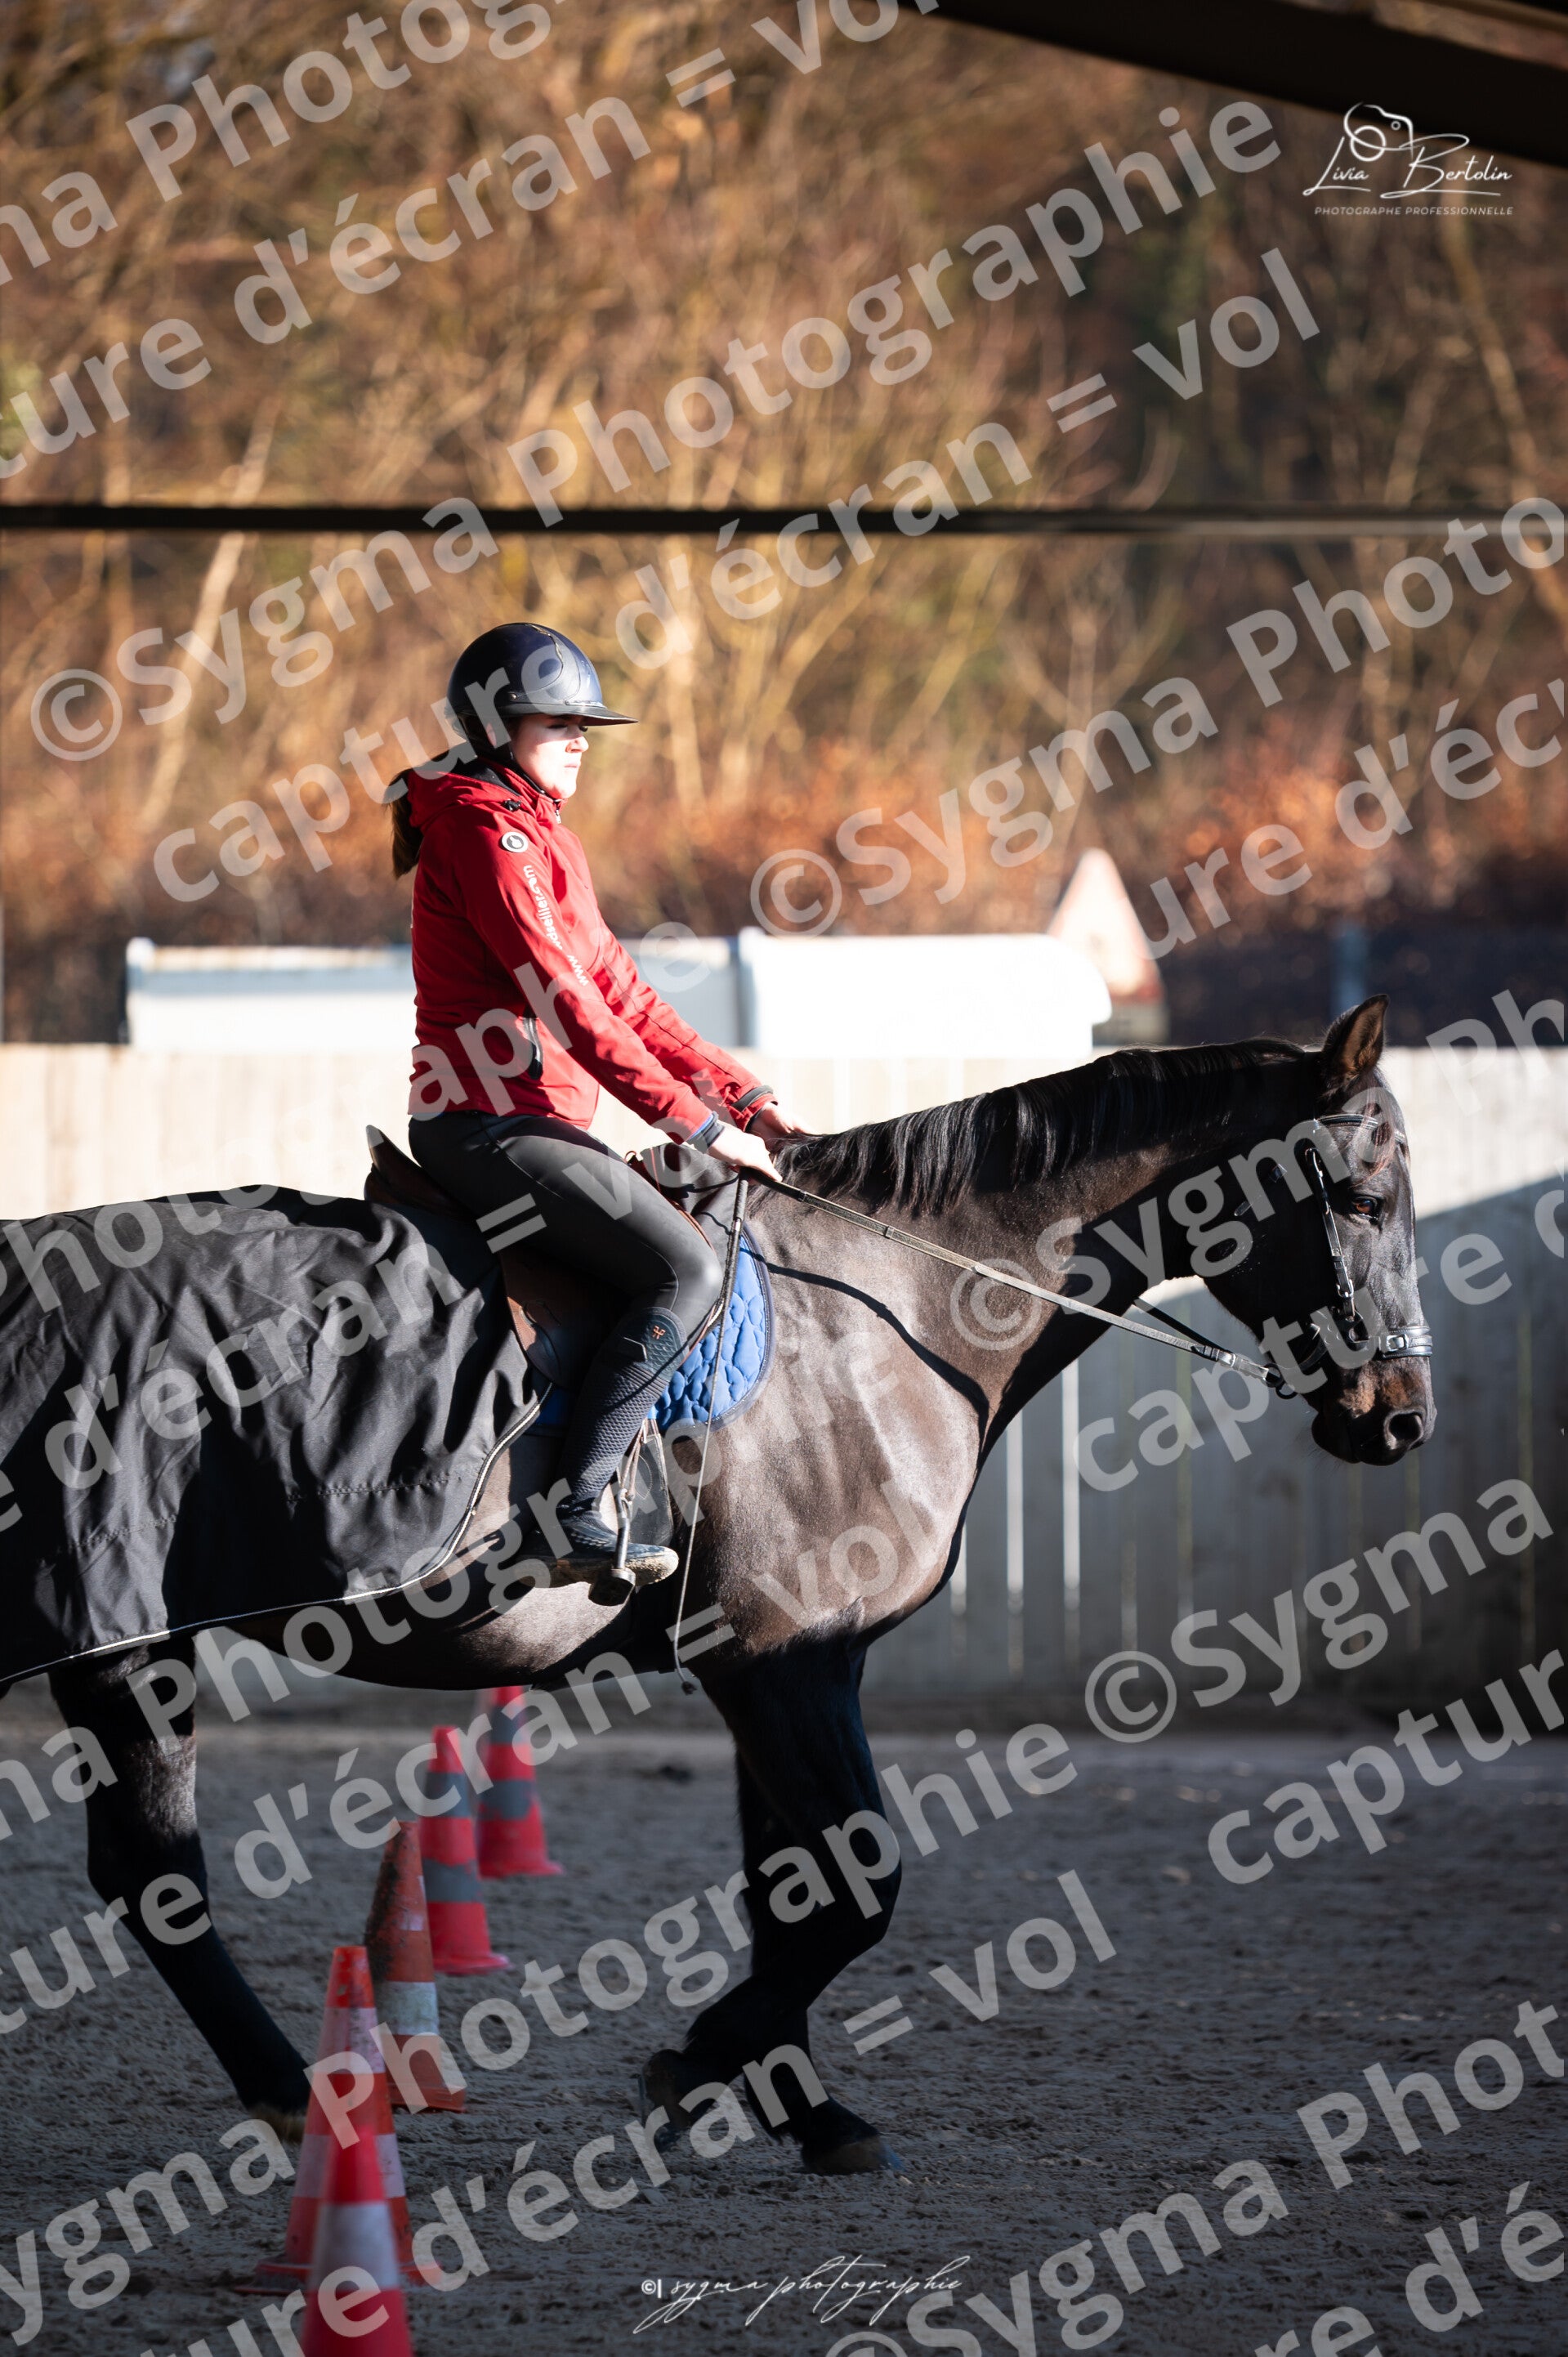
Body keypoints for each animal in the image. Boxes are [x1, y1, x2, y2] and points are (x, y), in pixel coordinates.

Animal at [31, 996, 1432, 2172]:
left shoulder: (795, 1662)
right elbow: (854, 1890)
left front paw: (794, 2102)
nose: (1398, 1416)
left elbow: (794, 1890)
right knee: (158, 1881)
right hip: (125, 1645)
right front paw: (706, 2060)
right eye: (1362, 1196)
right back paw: (300, 2096)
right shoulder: (785, 1661)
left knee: (147, 1877)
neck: (890, 1307)